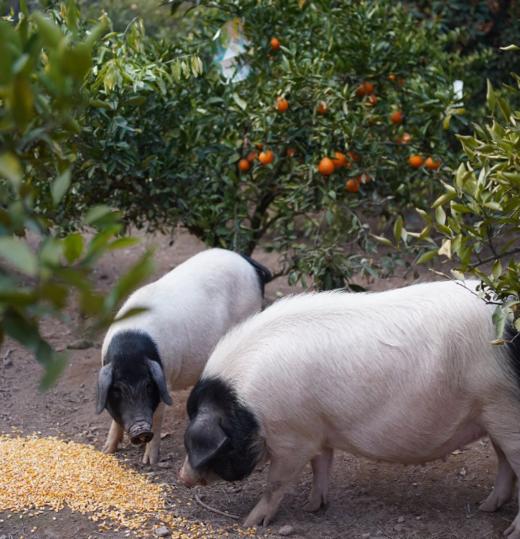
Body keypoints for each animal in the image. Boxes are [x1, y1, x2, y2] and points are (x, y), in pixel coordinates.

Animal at [96, 249, 272, 464]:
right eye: (117, 389)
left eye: (148, 386)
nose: (140, 429)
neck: (129, 350)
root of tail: (245, 260)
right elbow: (114, 421)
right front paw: (107, 451)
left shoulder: (165, 380)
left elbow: (157, 418)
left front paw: (149, 462)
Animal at [181, 280, 520, 536]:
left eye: (217, 445)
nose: (183, 478)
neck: (248, 408)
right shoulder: (316, 427)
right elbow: (321, 464)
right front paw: (312, 507)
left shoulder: (292, 437)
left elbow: (275, 482)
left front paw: (250, 522)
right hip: (492, 414)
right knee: (504, 462)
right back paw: (486, 507)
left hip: (502, 403)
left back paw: (509, 531)